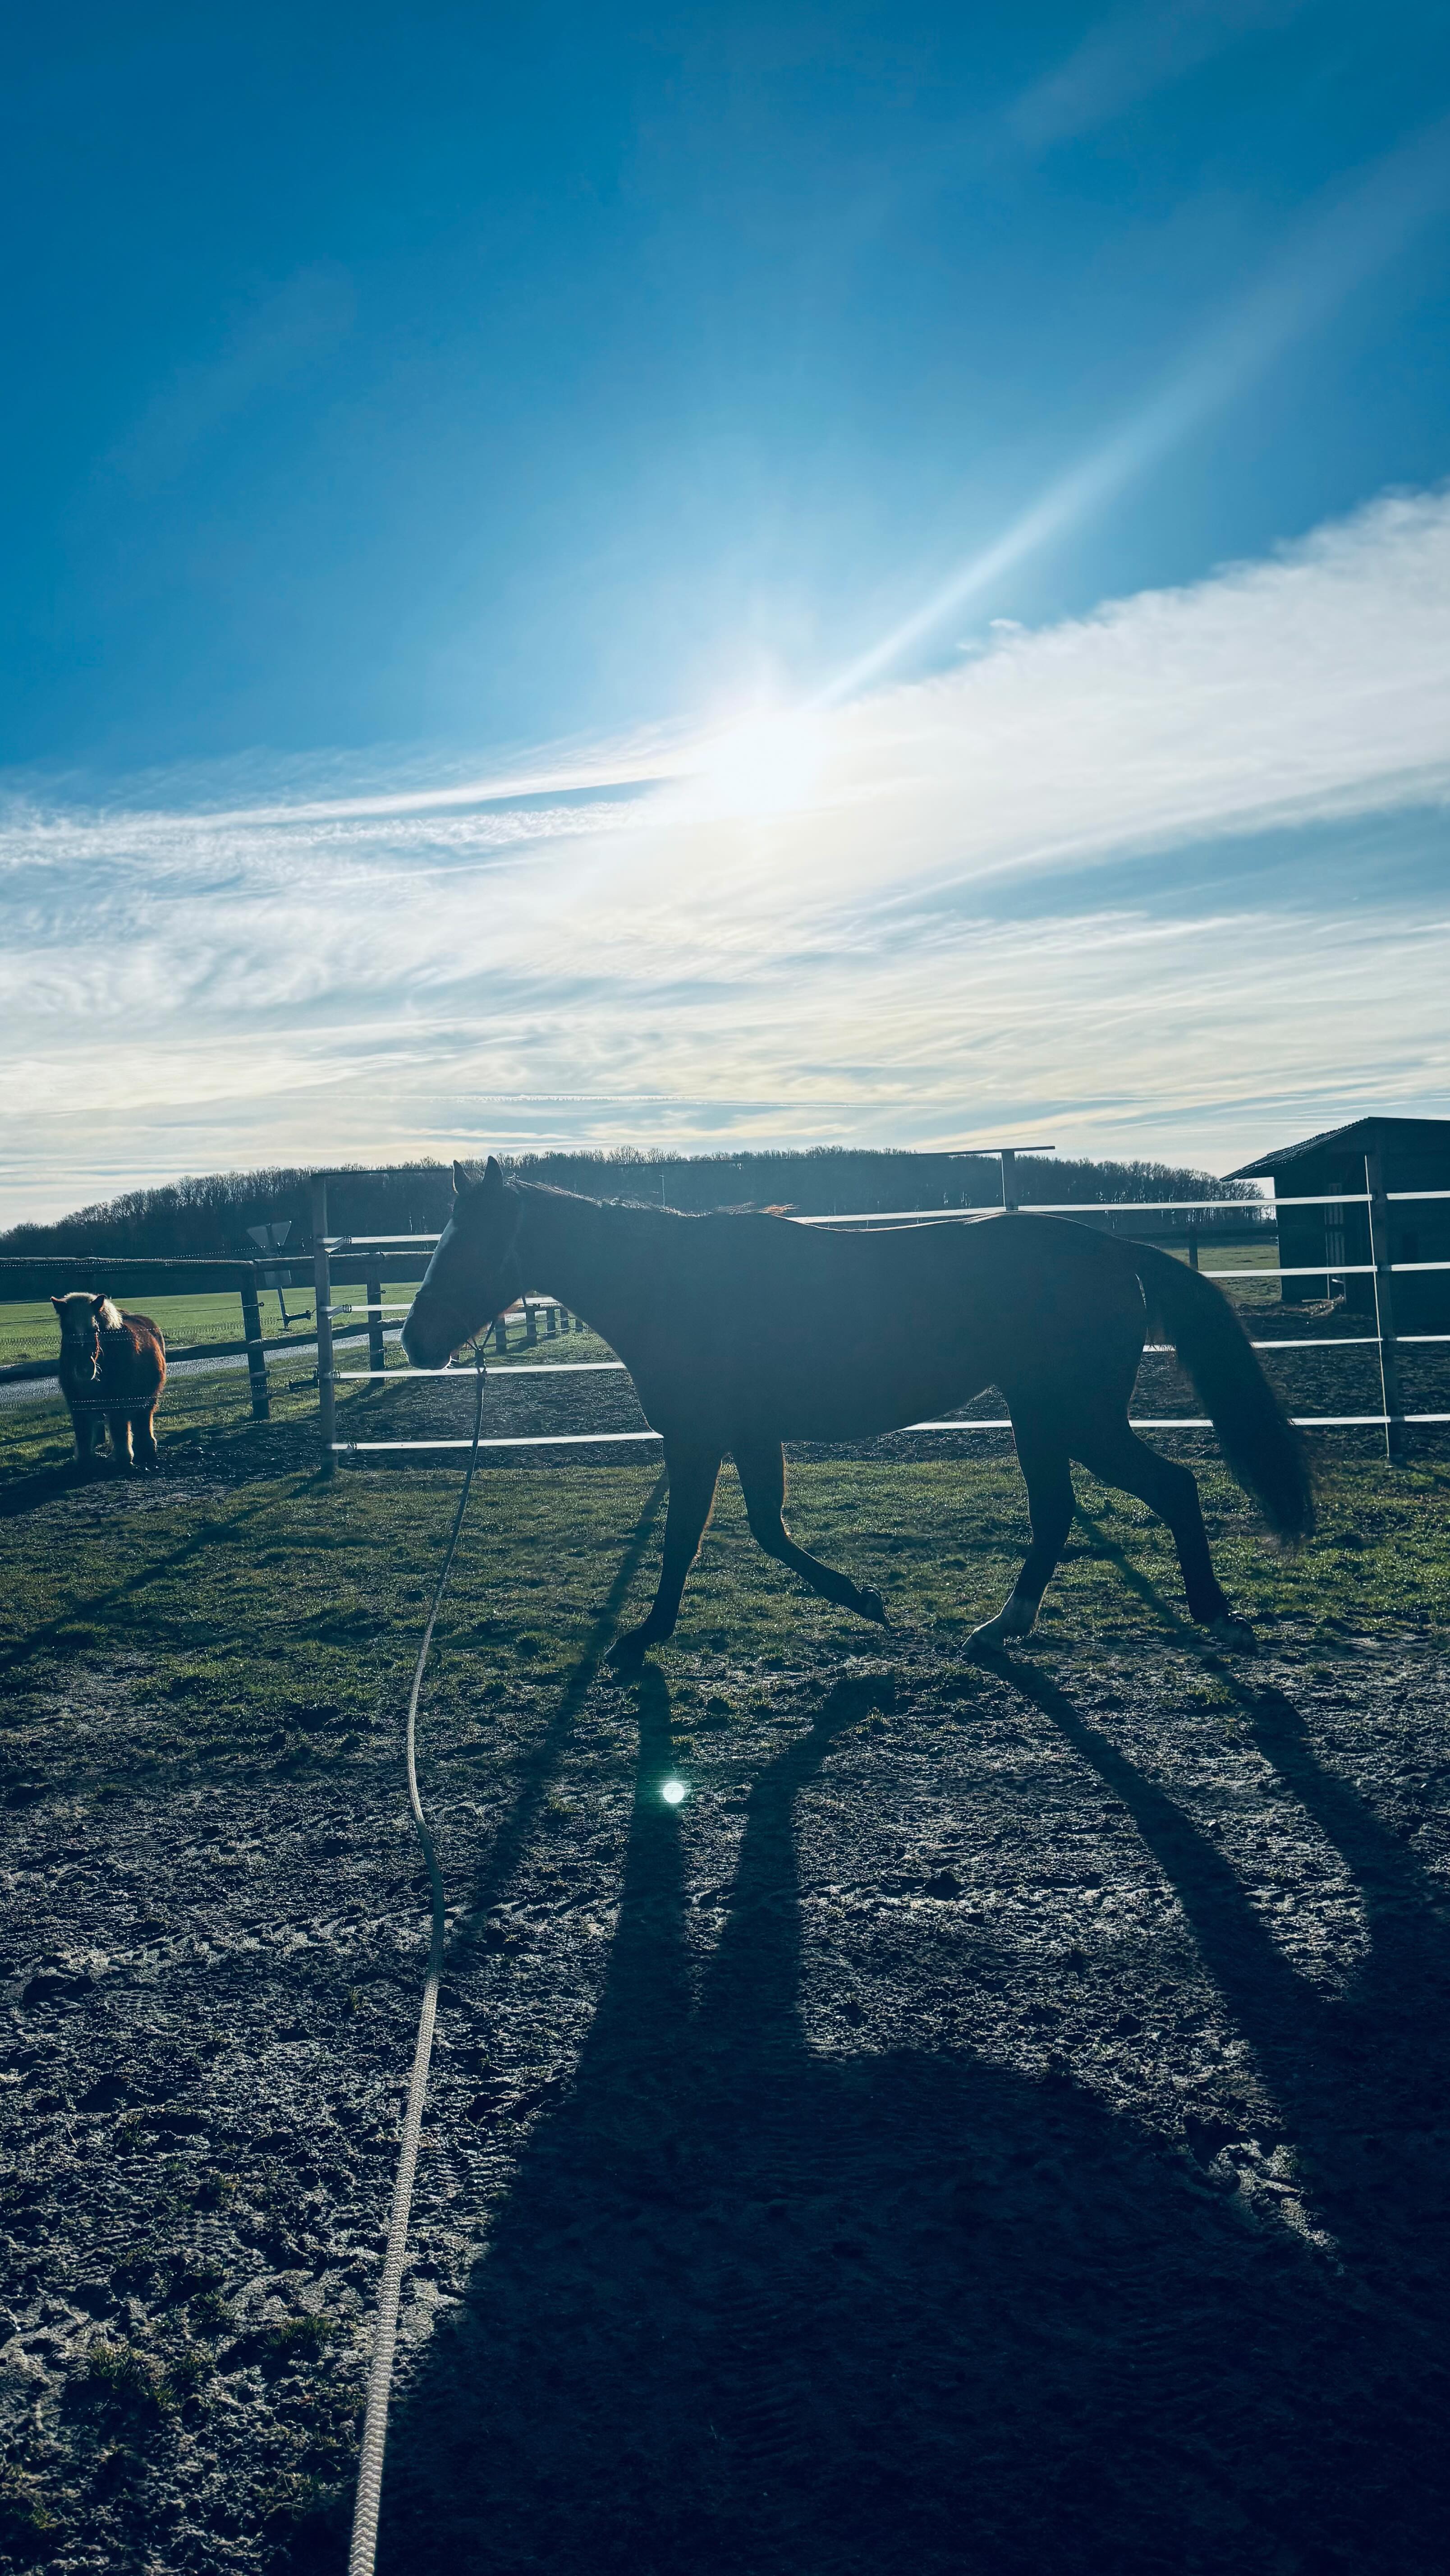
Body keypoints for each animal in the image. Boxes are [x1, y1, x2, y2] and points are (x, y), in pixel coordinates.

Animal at [50, 1293, 167, 1473]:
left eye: (95, 1329)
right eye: (68, 1330)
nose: (85, 1369)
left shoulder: (118, 1404)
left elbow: (120, 1430)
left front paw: (123, 1459)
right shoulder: (77, 1406)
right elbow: (83, 1435)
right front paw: (84, 1463)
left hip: (150, 1399)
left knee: (144, 1420)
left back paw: (148, 1450)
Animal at [401, 1159, 1313, 1669]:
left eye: (468, 1244)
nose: (414, 1340)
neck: (671, 1284)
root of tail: (1114, 1248)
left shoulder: (698, 1439)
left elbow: (688, 1542)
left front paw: (643, 1638)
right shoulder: (746, 1436)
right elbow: (763, 1530)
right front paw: (863, 1599)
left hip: (1076, 1416)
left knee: (1168, 1489)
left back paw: (1216, 1618)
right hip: (1042, 1416)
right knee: (1062, 1512)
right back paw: (1002, 1629)